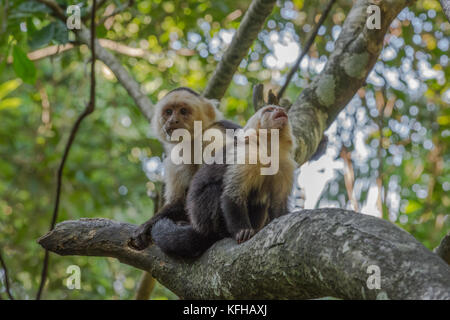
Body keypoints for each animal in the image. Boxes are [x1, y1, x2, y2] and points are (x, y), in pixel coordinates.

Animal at [129, 87, 243, 250]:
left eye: (183, 111)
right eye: (169, 112)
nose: (172, 120)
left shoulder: (212, 135)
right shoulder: (178, 154)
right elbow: (179, 202)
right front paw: (147, 226)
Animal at [151, 105, 298, 258]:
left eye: (278, 108)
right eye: (269, 110)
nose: (280, 110)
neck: (268, 151)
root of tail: (199, 228)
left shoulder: (285, 163)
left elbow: (278, 204)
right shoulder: (248, 155)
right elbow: (232, 195)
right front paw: (242, 231)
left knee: (260, 201)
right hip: (201, 217)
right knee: (214, 190)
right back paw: (218, 234)